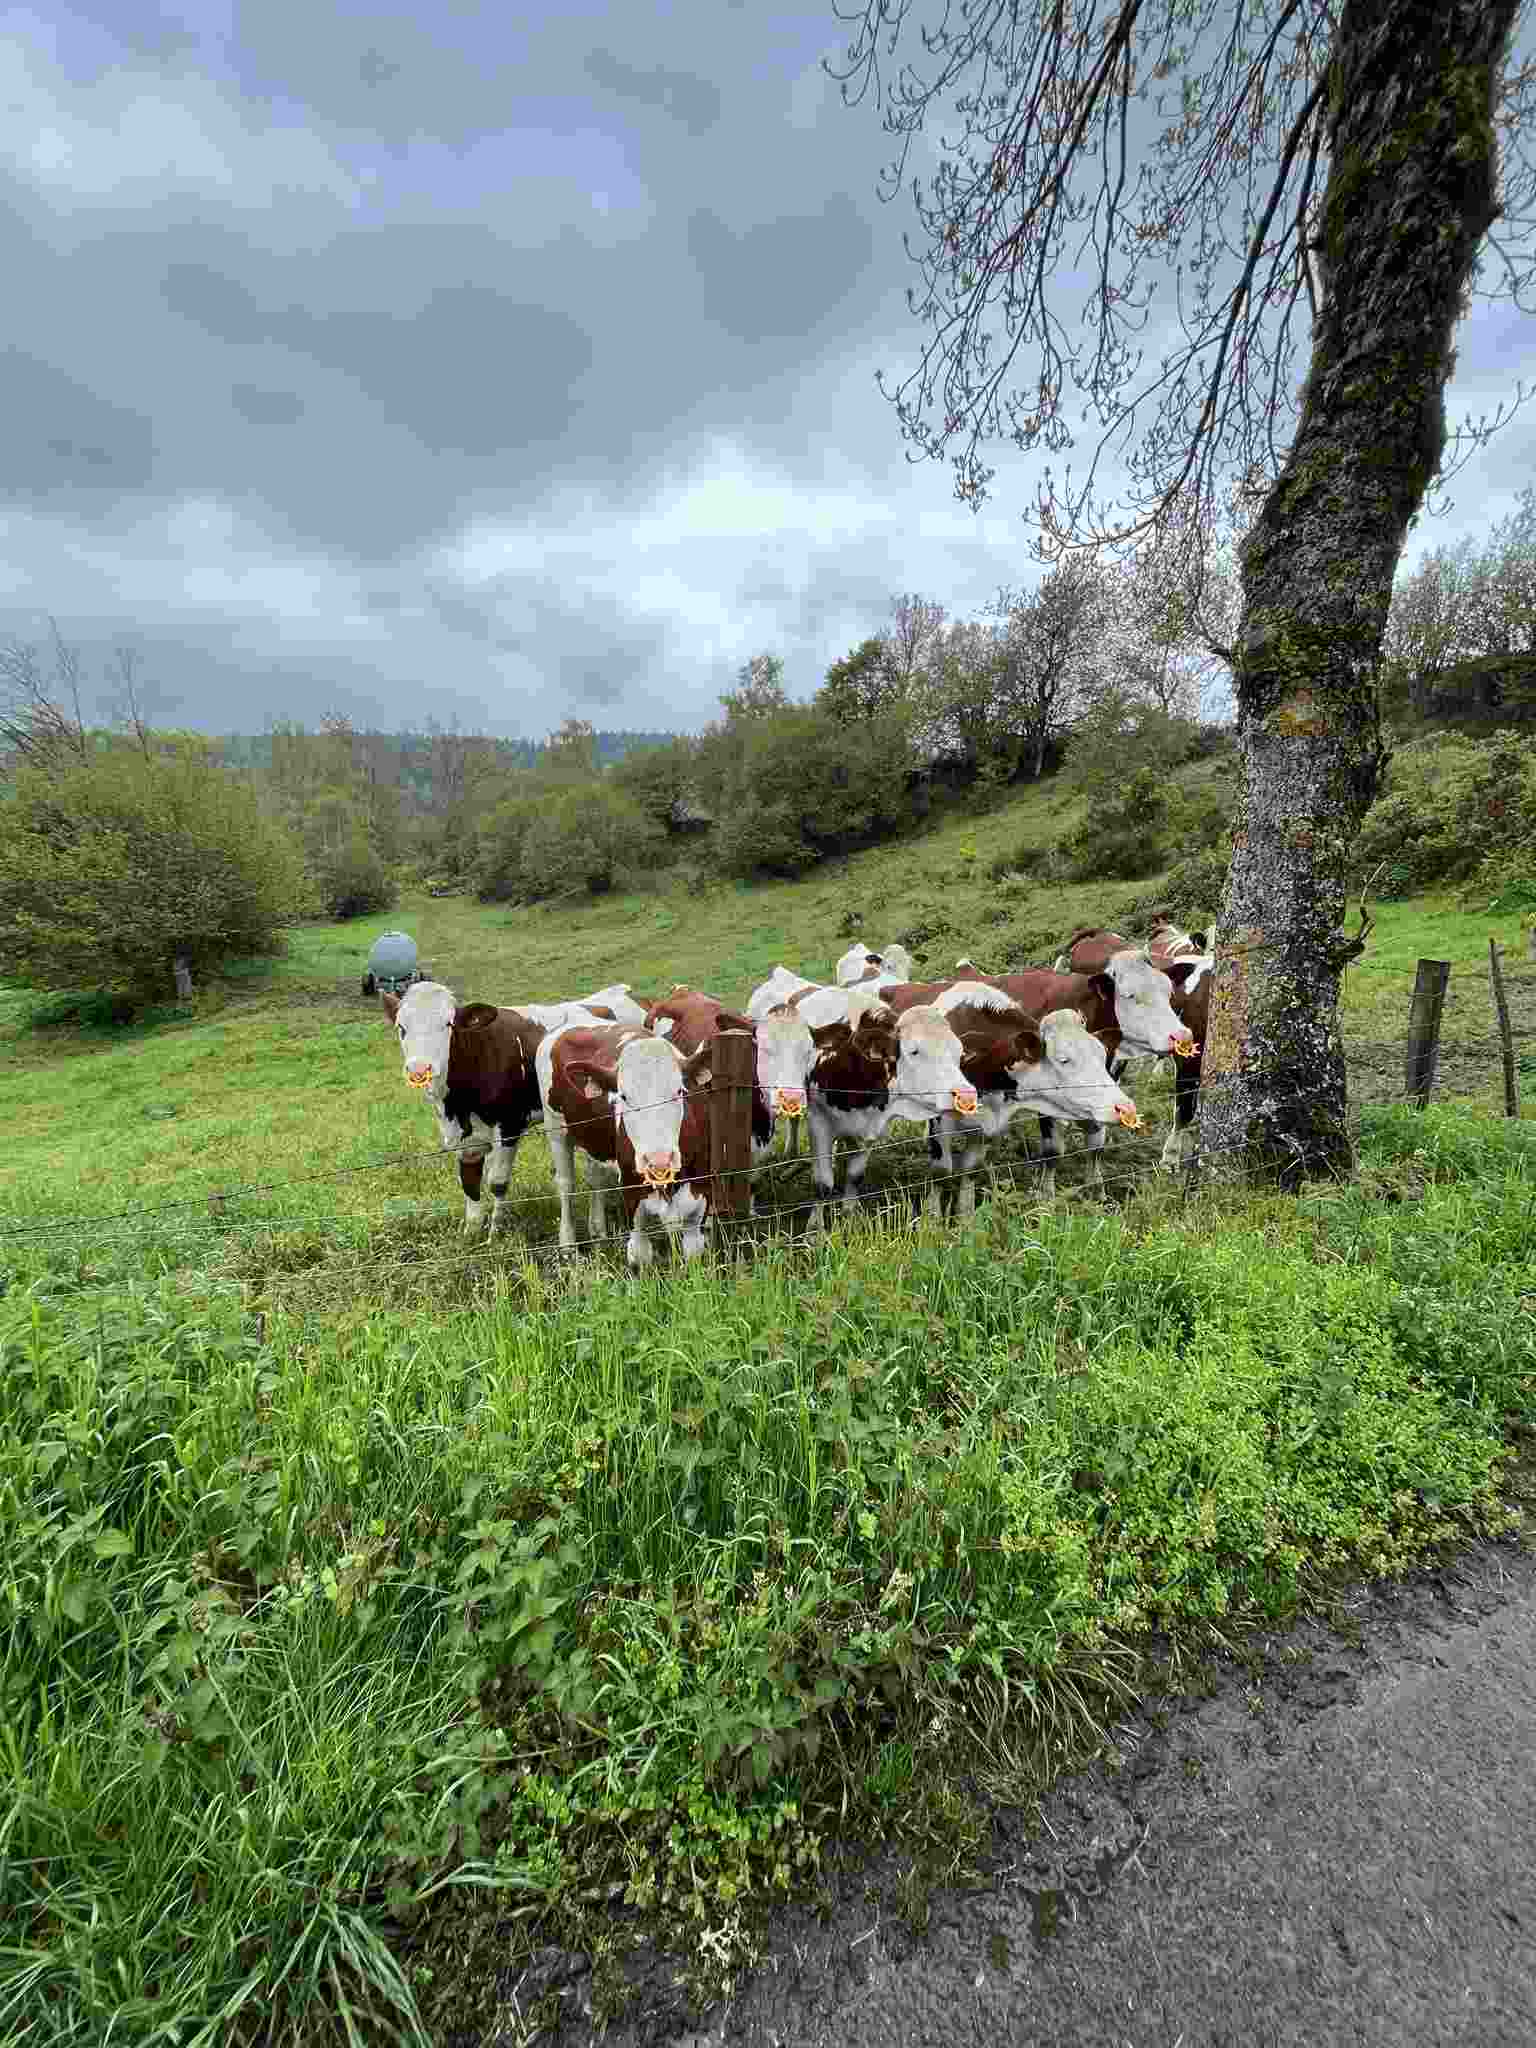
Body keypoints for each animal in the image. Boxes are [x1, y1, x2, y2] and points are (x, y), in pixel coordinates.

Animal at [382, 980, 593, 1238]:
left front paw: (495, 1233)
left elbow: (498, 1182)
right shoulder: (462, 1138)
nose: (419, 1069)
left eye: (448, 1024)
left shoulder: (510, 1125)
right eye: (401, 1027)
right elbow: (470, 1183)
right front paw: (471, 1233)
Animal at [536, 1019, 715, 1266]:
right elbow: (640, 1255)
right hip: (555, 1128)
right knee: (566, 1185)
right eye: (623, 1097)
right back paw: (568, 1246)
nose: (659, 1160)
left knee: (596, 1179)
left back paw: (599, 1233)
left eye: (680, 1091)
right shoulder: (633, 1202)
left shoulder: (698, 1206)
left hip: (595, 1141)